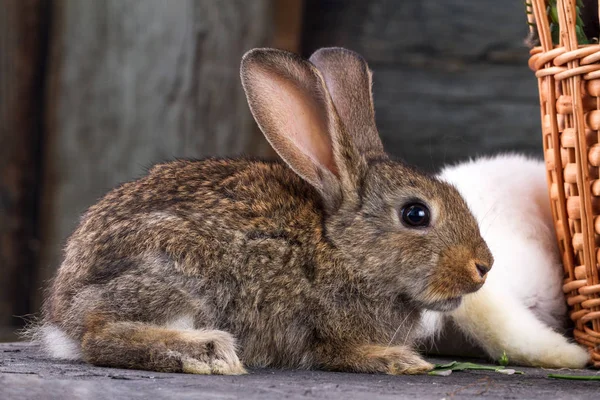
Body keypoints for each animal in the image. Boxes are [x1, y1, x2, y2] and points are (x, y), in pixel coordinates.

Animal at [34, 47, 492, 376]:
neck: (342, 248)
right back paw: (207, 352)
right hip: (175, 273)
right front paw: (401, 361)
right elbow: (341, 353)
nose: (484, 266)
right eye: (415, 215)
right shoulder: (325, 329)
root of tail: (62, 315)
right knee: (100, 336)